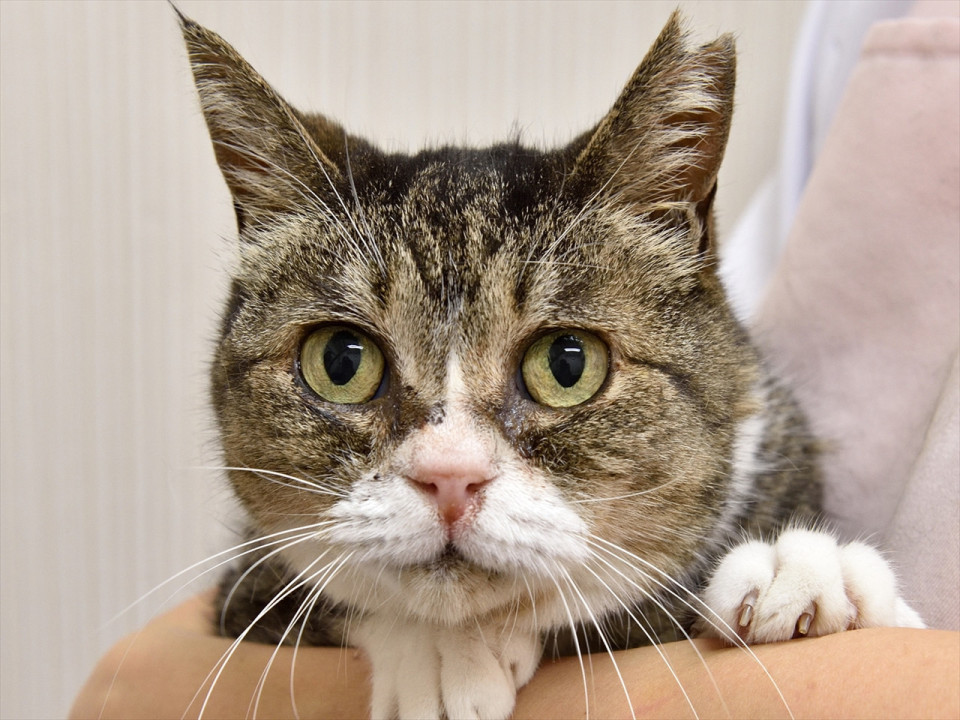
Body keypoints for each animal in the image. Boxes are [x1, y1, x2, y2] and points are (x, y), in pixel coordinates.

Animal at [177, 8, 925, 719]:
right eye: (340, 360)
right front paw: (438, 654)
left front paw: (806, 569)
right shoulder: (242, 589)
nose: (450, 478)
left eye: (567, 364)